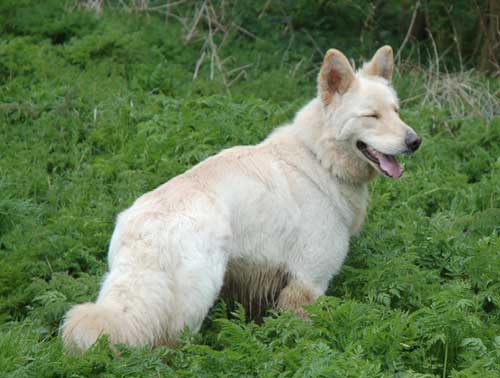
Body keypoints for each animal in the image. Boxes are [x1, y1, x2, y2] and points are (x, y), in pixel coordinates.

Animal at [62, 46, 422, 352]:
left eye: (396, 111)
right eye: (371, 116)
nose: (415, 141)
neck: (319, 157)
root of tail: (145, 229)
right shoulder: (309, 283)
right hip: (195, 302)